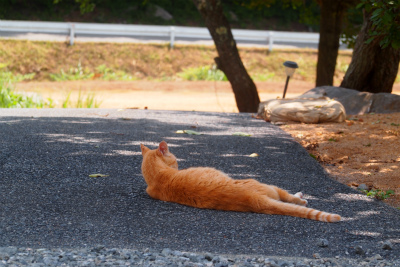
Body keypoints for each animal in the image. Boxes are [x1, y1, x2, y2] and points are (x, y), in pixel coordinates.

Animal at [140, 141, 340, 223]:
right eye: (175, 160)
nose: (178, 164)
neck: (157, 176)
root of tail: (253, 199)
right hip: (269, 186)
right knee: (290, 198)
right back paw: (300, 197)